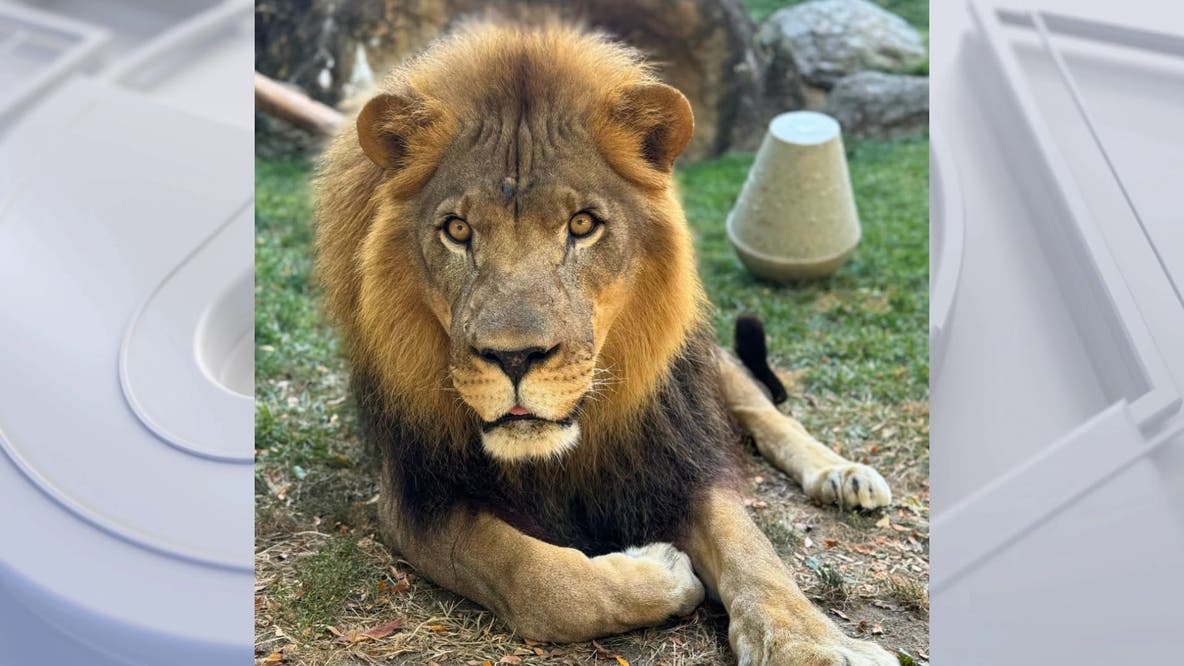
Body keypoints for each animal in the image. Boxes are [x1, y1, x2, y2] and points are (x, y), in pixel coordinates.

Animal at [314, 21, 896, 665]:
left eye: (583, 225)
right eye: (458, 230)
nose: (514, 358)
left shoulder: (672, 457)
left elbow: (754, 552)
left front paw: (811, 644)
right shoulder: (415, 495)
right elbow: (536, 577)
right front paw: (663, 569)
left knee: (764, 409)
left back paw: (842, 474)